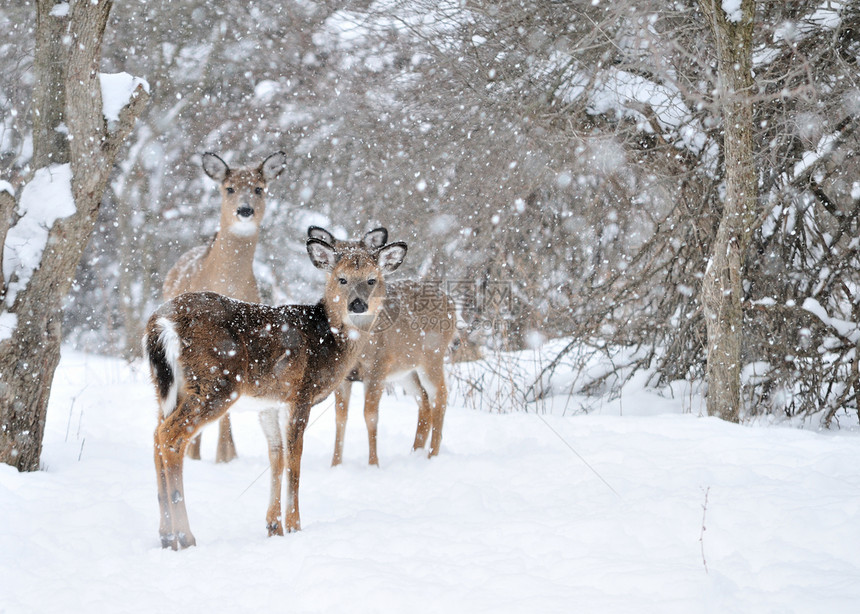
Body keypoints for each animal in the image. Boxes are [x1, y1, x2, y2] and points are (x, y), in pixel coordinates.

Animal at [144, 235, 406, 548]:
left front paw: (273, 526)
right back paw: (185, 535)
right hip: (215, 383)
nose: (357, 304)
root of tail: (162, 323)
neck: (328, 343)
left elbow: (276, 456)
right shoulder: (300, 394)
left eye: (372, 279)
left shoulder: (269, 403)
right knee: (170, 437)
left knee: (155, 435)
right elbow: (294, 459)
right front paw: (295, 526)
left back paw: (165, 535)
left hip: (166, 387)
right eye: (341, 278)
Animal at [160, 152, 284, 464]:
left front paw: (226, 456)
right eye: (229, 188)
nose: (245, 210)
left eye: (259, 188)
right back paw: (193, 452)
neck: (228, 283)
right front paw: (216, 455)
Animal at [308, 226, 456, 466]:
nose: (358, 304)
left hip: (432, 355)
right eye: (342, 279)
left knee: (440, 395)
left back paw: (432, 455)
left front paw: (373, 464)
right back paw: (414, 452)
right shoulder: (343, 375)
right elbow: (340, 417)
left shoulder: (378, 365)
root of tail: (451, 302)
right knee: (424, 401)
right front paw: (335, 464)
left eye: (371, 280)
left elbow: (370, 415)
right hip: (406, 369)